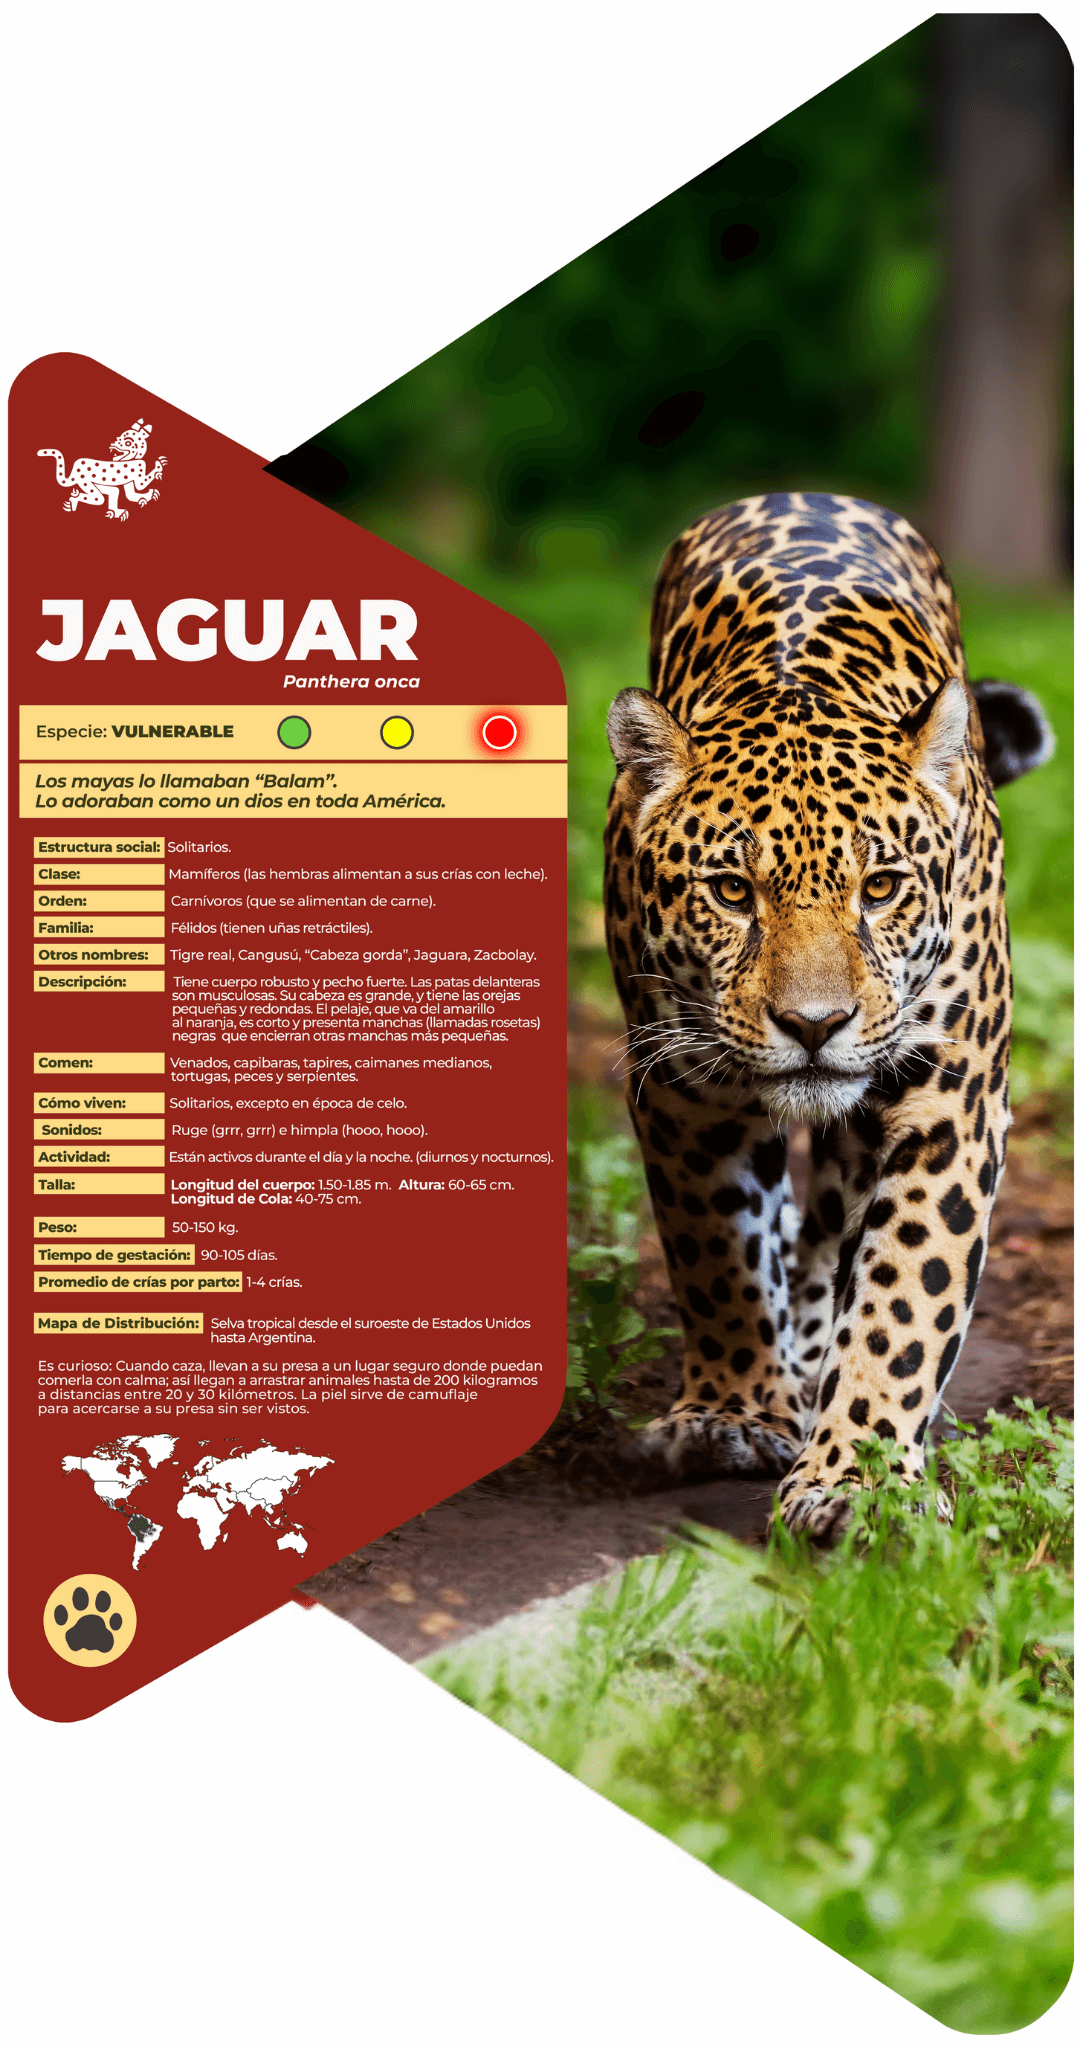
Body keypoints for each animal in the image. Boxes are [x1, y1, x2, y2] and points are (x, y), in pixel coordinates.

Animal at [603, 490, 1053, 1539]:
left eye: (880, 887)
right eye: (732, 891)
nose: (815, 1025)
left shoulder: (948, 1102)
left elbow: (905, 1290)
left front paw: (861, 1476)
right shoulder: (684, 1093)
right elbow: (716, 1252)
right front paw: (730, 1414)